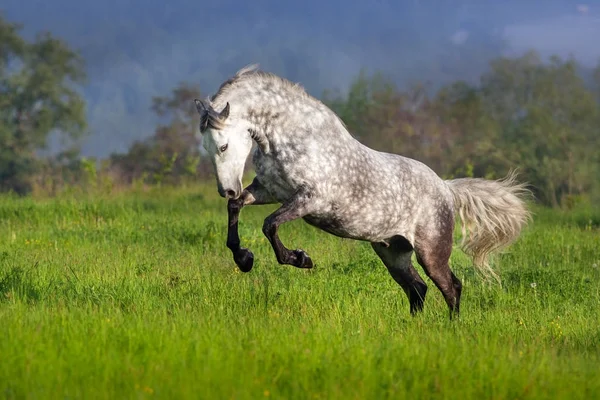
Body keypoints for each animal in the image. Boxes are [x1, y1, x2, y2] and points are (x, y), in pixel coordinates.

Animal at [193, 64, 528, 318]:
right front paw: (244, 259)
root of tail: (446, 188)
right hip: (393, 252)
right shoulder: (270, 191)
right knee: (417, 288)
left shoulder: (309, 199)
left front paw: (301, 259)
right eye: (206, 148)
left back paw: (451, 328)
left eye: (223, 146)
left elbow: (269, 224)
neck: (294, 138)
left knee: (451, 287)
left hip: (431, 252)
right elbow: (237, 210)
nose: (227, 189)